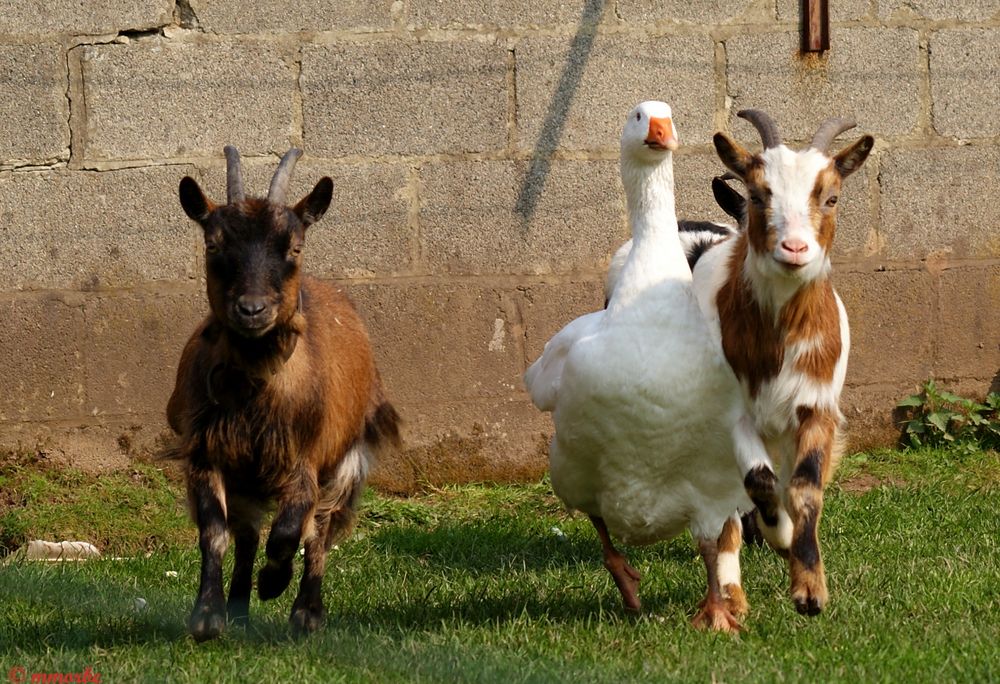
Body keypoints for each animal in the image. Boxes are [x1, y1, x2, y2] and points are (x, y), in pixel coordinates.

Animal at [165, 146, 398, 640]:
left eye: (294, 247)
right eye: (213, 245)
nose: (252, 309)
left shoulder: (304, 456)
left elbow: (292, 530)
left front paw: (273, 583)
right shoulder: (207, 451)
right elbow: (215, 533)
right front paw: (208, 616)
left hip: (347, 458)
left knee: (320, 531)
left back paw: (306, 613)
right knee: (248, 534)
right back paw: (239, 609)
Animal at [692, 111, 872, 616]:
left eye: (831, 197)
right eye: (758, 195)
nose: (794, 249)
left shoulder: (817, 405)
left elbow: (805, 488)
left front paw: (809, 588)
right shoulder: (732, 415)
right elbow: (758, 482)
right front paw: (782, 537)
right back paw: (732, 591)